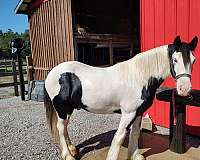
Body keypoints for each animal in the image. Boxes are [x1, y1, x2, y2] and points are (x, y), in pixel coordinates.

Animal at [44, 36, 198, 160]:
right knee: (60, 128)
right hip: (61, 108)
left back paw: (72, 150)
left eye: (194, 60)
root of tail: (53, 72)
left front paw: (135, 156)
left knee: (64, 127)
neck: (138, 78)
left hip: (68, 109)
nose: (184, 89)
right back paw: (68, 155)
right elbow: (119, 137)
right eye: (175, 59)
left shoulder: (138, 112)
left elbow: (135, 133)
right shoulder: (128, 113)